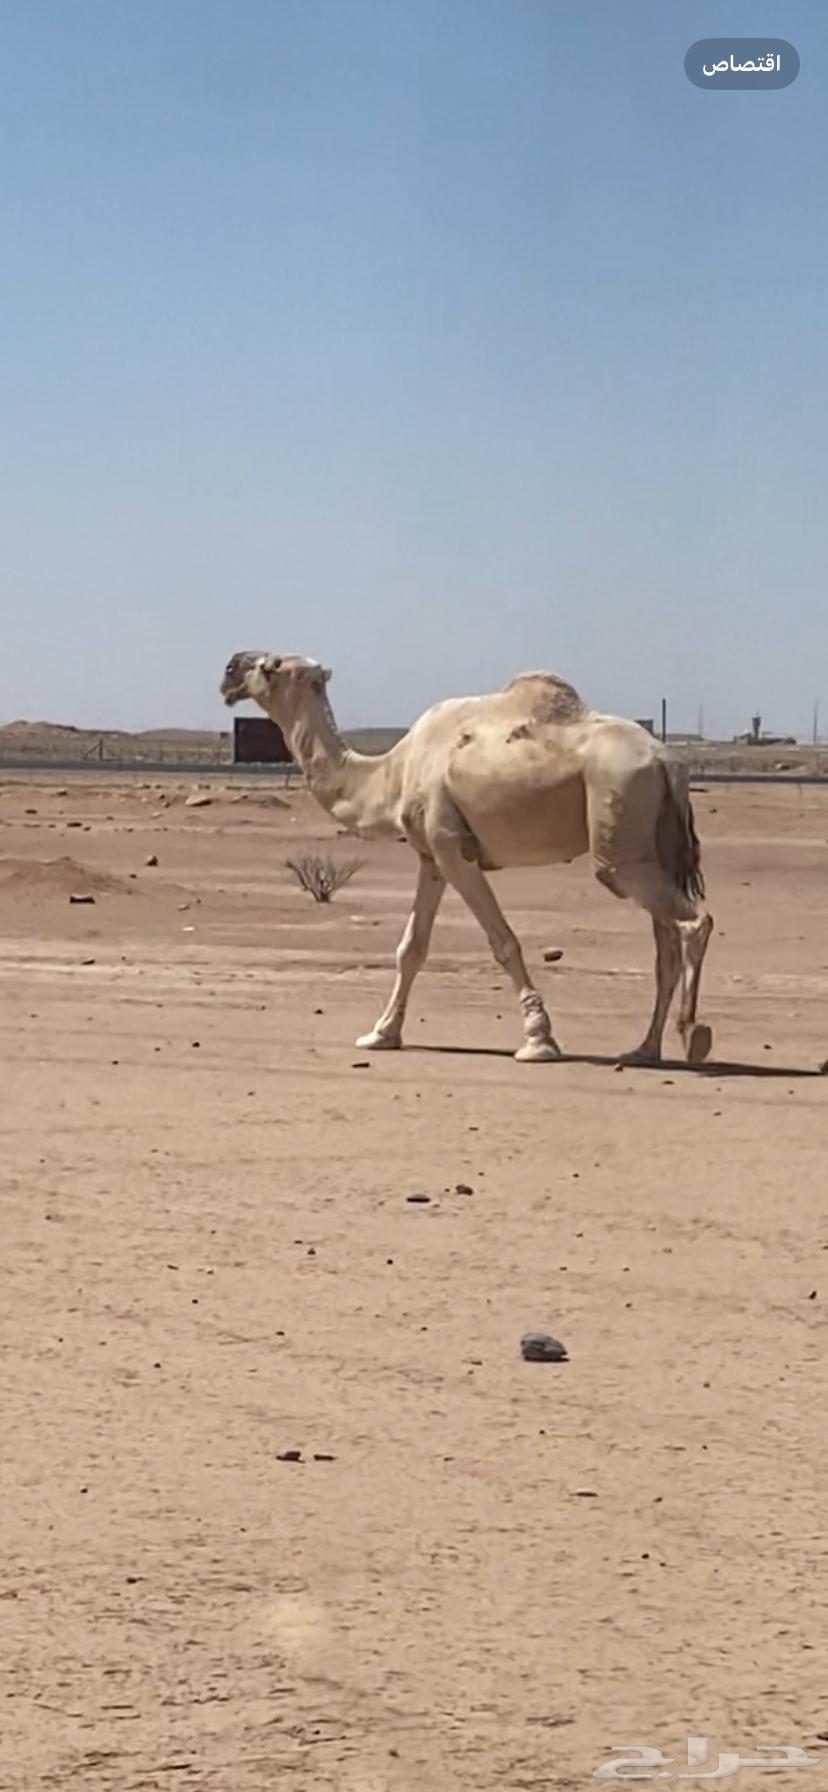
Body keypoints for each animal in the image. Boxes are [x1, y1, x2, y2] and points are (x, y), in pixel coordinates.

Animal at [221, 652, 714, 1066]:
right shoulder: (430, 856)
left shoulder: (451, 846)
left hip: (619, 828)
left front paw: (538, 1041)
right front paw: (381, 1034)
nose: (229, 670)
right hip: (651, 845)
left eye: (270, 666)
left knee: (692, 921)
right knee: (664, 947)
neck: (391, 773)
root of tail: (669, 763)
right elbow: (411, 948)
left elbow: (503, 942)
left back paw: (693, 1036)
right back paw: (644, 1049)